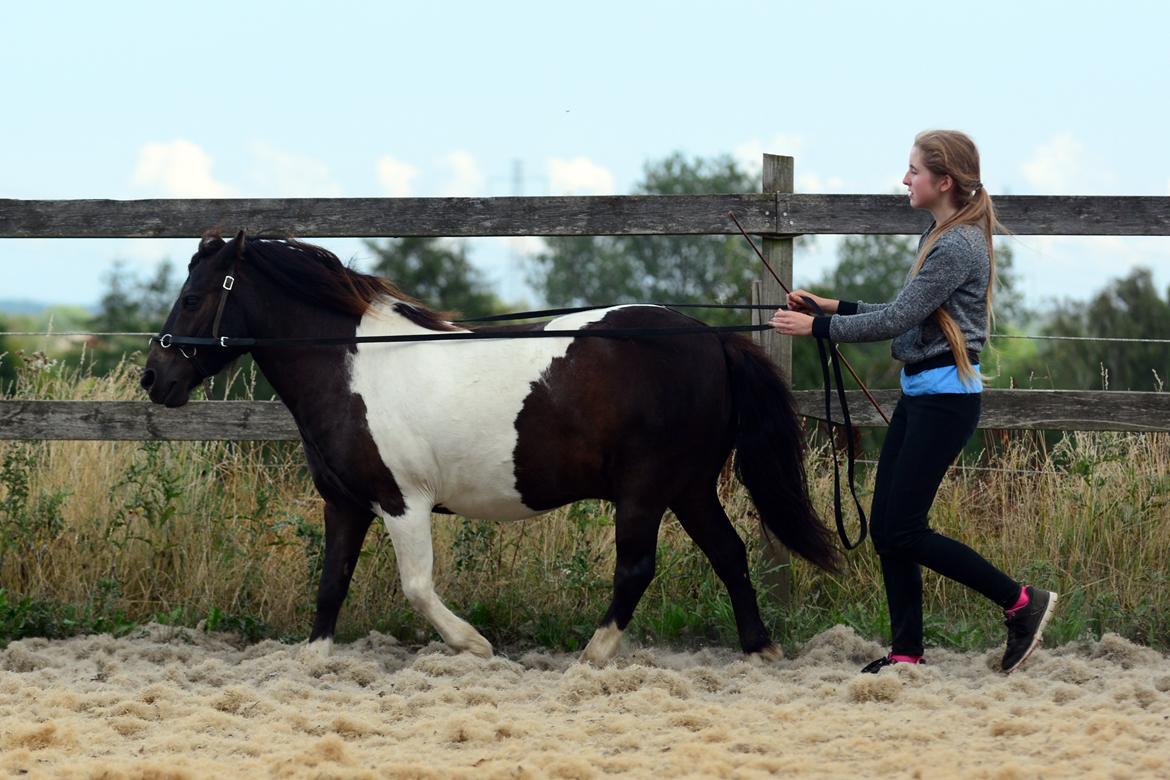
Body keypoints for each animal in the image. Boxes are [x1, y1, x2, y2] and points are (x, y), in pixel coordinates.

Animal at [139, 229, 842, 664]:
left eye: (193, 297)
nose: (154, 378)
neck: (355, 367)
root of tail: (711, 338)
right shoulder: (345, 503)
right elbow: (330, 584)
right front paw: (313, 661)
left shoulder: (402, 503)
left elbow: (417, 587)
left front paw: (473, 646)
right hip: (688, 486)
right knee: (730, 555)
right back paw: (760, 649)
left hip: (645, 489)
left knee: (638, 568)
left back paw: (591, 658)